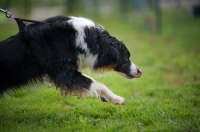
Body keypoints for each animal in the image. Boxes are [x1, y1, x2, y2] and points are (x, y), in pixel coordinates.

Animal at [0, 16, 142, 104]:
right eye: (126, 57)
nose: (140, 71)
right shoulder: (65, 73)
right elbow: (94, 83)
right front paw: (114, 98)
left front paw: (114, 98)